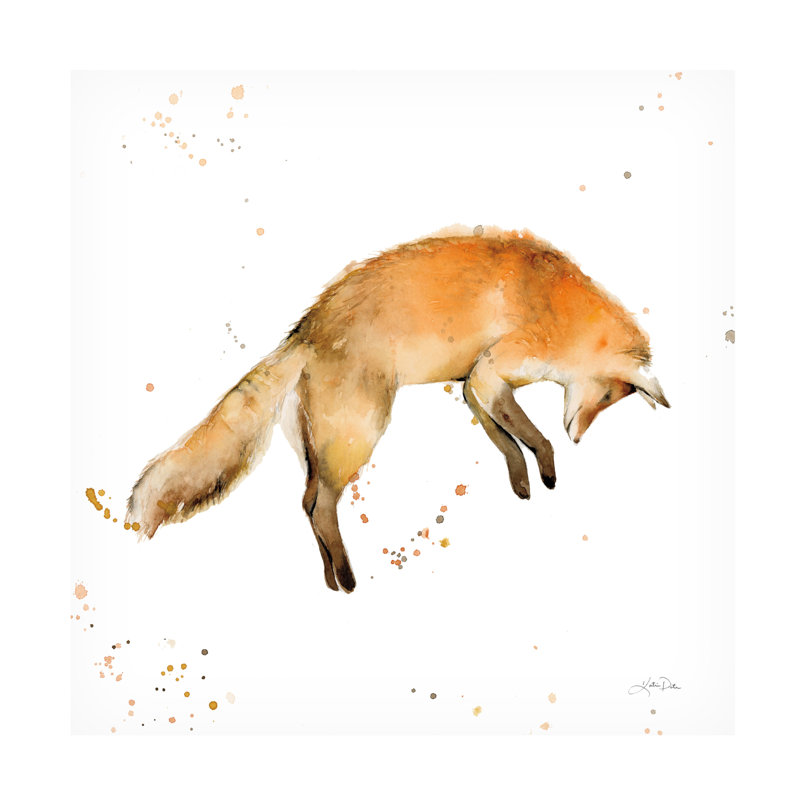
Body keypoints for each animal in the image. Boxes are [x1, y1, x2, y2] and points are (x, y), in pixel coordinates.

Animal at [127, 225, 669, 593]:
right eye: (606, 396)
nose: (580, 436)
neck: (560, 307)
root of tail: (306, 330)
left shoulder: (474, 386)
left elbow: (506, 441)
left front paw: (522, 481)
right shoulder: (491, 373)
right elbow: (534, 436)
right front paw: (548, 467)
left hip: (323, 445)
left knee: (306, 503)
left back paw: (330, 577)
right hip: (359, 433)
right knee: (320, 505)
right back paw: (348, 578)